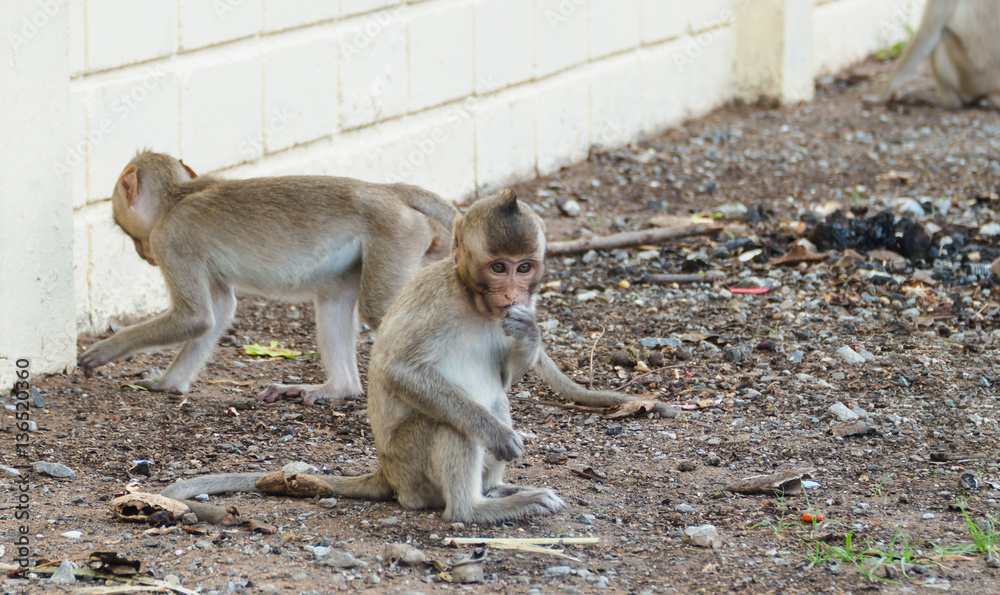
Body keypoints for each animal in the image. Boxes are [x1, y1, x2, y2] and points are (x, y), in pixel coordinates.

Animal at [77, 151, 459, 406]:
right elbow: (218, 310)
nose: (142, 252)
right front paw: (167, 384)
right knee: (334, 299)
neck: (178, 197)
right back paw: (338, 388)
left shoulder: (171, 240)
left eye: (125, 229)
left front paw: (105, 350)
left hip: (396, 233)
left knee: (379, 310)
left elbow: (194, 318)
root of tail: (389, 190)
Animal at [158, 189, 678, 524]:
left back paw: (495, 488)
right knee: (453, 423)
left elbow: (505, 376)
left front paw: (527, 334)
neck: (473, 300)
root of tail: (387, 473)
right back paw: (477, 507)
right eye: (498, 267)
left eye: (524, 267)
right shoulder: (437, 299)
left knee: (493, 401)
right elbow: (401, 370)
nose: (512, 292)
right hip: (410, 467)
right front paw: (496, 435)